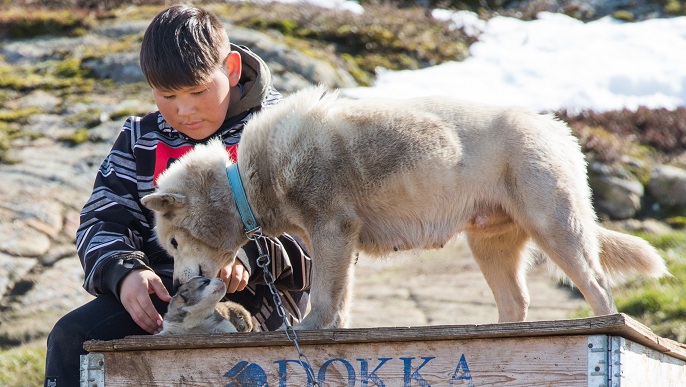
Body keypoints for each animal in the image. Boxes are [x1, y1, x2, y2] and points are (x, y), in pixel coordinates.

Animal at [142, 85, 668, 330]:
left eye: (173, 241)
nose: (176, 286)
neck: (249, 180)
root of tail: (557, 127)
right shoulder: (335, 243)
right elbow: (339, 298)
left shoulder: (333, 229)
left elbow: (324, 296)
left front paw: (312, 327)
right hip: (490, 243)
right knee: (516, 301)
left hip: (554, 224)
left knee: (597, 284)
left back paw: (605, 322)